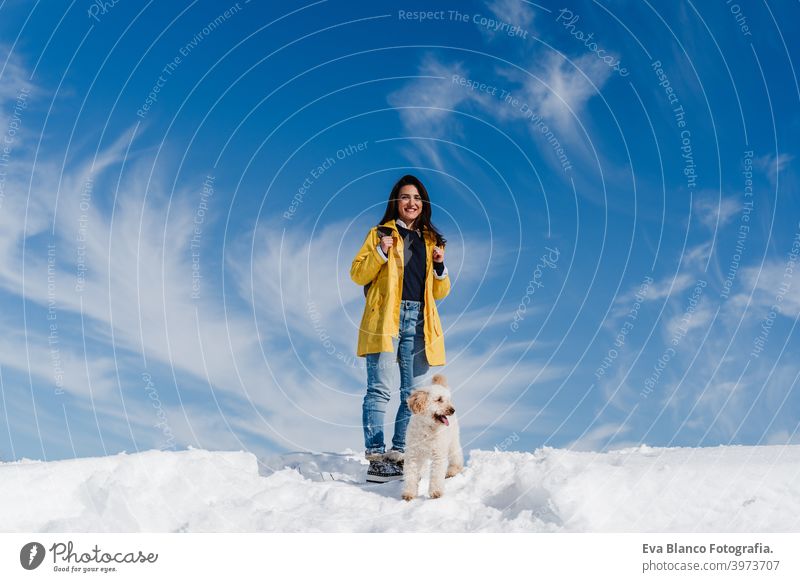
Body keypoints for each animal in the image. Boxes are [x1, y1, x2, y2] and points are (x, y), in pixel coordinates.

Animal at [400, 376, 462, 504]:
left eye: (448, 400)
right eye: (439, 399)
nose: (452, 410)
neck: (428, 428)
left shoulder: (438, 455)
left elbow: (436, 476)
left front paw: (436, 493)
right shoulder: (413, 455)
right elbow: (410, 475)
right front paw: (409, 493)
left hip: (453, 441)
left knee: (456, 457)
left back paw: (453, 471)